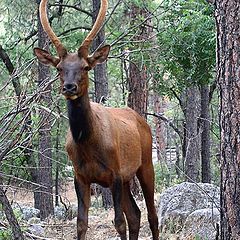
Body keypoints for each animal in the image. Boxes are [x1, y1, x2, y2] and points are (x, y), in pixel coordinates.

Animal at [32, 0, 158, 240]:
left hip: (145, 164)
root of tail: (141, 119)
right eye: (59, 68)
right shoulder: (80, 177)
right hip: (127, 179)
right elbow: (81, 223)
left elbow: (119, 222)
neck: (87, 142)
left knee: (152, 215)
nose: (69, 87)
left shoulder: (115, 173)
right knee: (135, 214)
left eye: (85, 67)